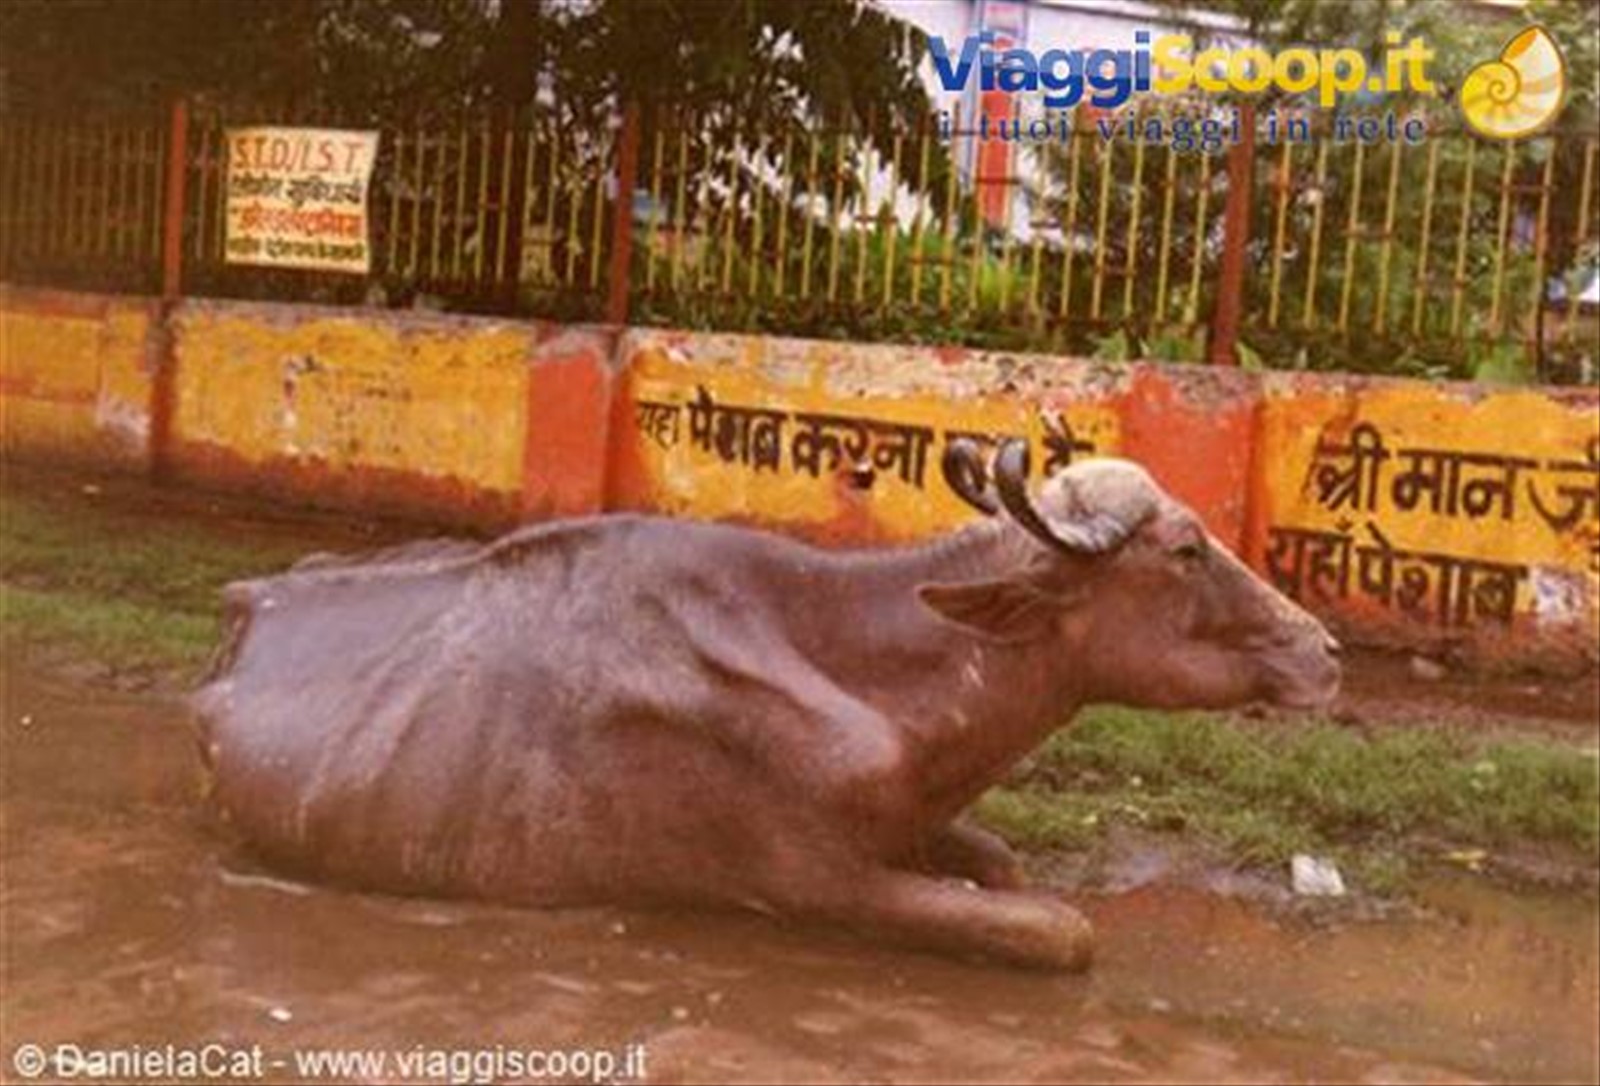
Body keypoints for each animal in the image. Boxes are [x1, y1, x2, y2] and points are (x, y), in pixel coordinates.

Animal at [192, 439, 1339, 971]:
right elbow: (1062, 932)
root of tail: (251, 600)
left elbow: (1006, 863)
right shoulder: (822, 882)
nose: (1324, 650)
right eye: (1184, 550)